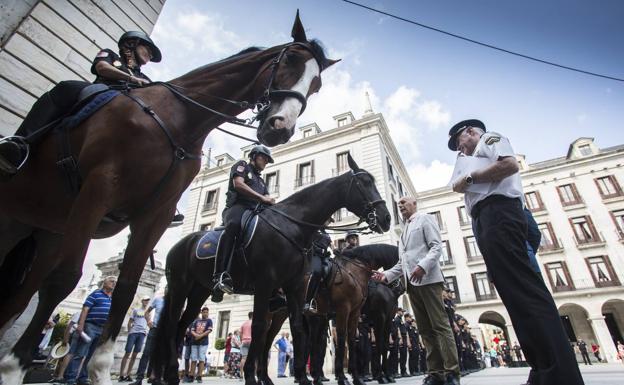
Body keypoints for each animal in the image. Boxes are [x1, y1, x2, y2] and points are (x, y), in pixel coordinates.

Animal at [0, 12, 336, 384]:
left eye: (316, 85)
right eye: (290, 60)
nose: (280, 127)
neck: (180, 119)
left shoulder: (155, 216)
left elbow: (125, 290)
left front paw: (99, 370)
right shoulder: (98, 189)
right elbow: (64, 279)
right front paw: (15, 367)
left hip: (47, 228)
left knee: (23, 289)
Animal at [150, 154, 390, 384]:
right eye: (364, 183)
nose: (386, 218)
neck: (290, 226)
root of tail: (181, 244)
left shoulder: (296, 289)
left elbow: (297, 329)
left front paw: (303, 377)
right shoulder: (266, 285)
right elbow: (258, 327)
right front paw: (250, 376)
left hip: (200, 292)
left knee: (182, 326)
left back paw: (171, 374)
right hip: (180, 288)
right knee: (172, 325)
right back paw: (171, 373)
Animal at [342, 244, 400, 382]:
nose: (398, 286)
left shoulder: (388, 319)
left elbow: (385, 345)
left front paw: (387, 375)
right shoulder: (380, 318)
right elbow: (378, 345)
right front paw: (380, 376)